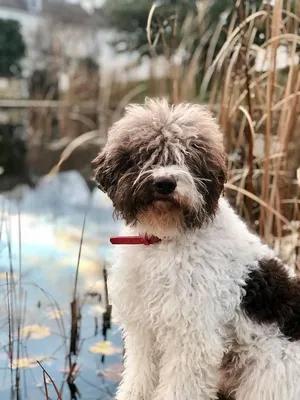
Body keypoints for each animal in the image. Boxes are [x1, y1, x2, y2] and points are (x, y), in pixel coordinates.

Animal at [94, 97, 300, 400]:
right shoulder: (143, 329)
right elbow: (139, 376)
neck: (165, 239)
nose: (165, 183)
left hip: (268, 378)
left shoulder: (192, 337)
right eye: (147, 154)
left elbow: (179, 388)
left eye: (188, 158)